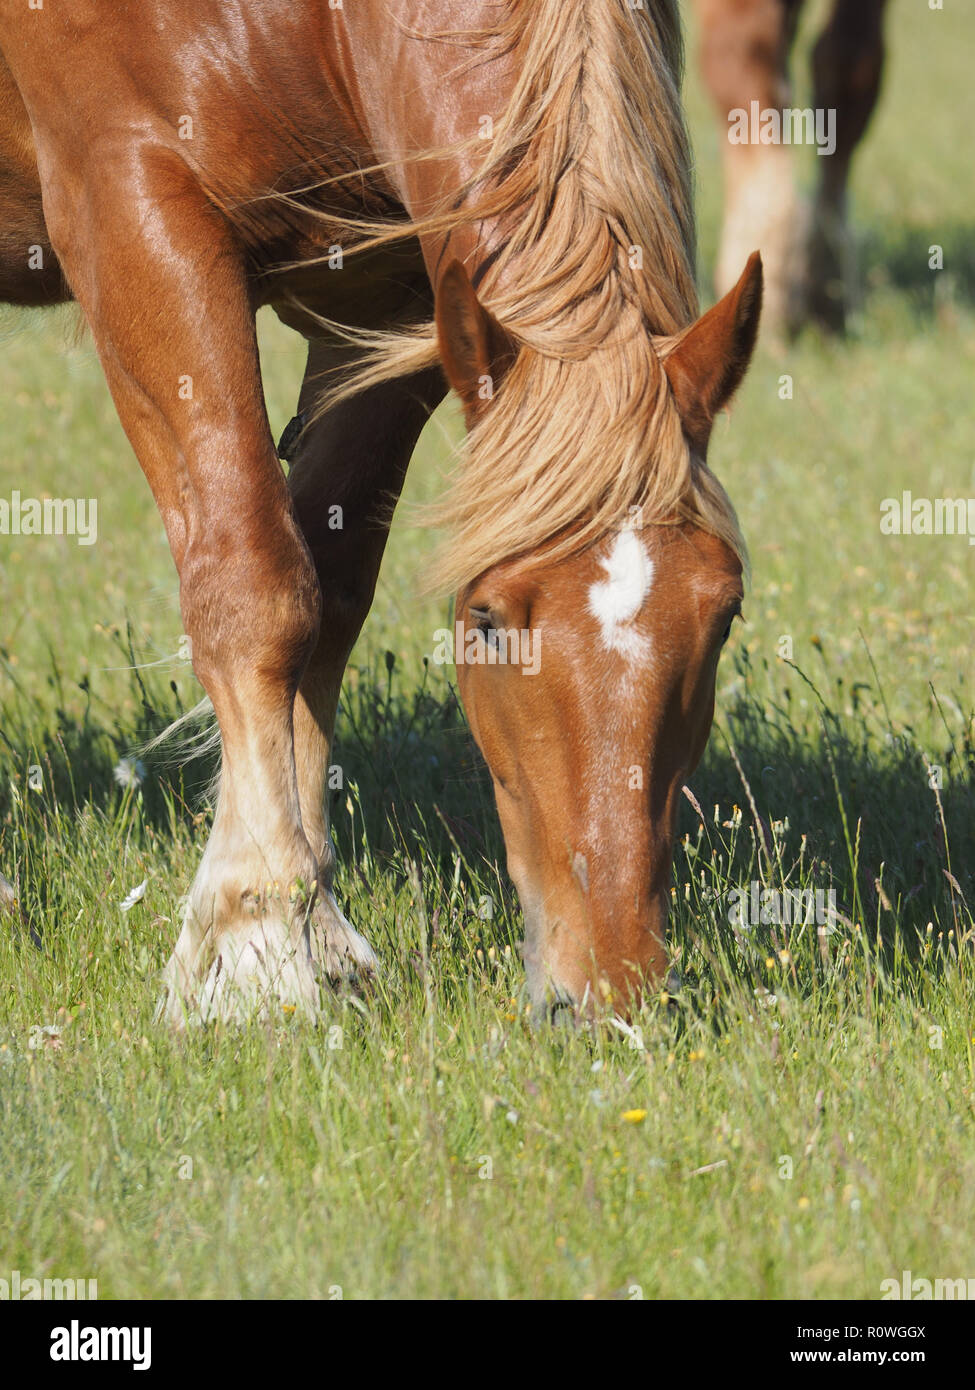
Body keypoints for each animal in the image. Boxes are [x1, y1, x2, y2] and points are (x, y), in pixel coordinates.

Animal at [0, 0, 762, 1026]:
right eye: (484, 622)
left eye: (722, 615)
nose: (608, 987)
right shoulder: (130, 210)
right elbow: (254, 588)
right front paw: (255, 942)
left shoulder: (396, 288)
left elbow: (329, 596)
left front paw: (317, 928)